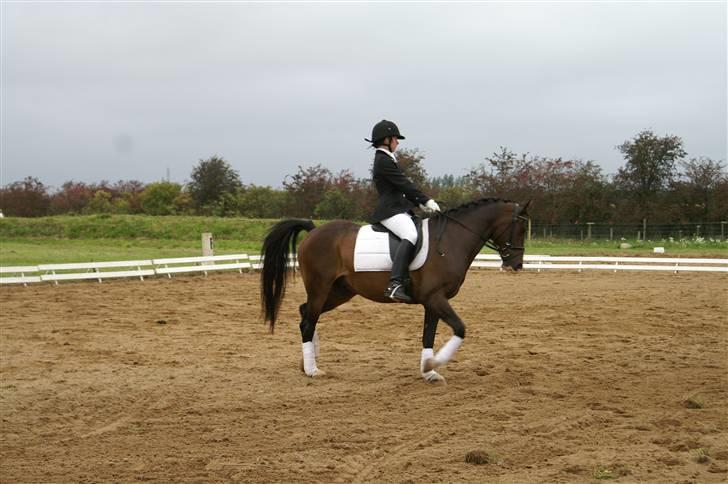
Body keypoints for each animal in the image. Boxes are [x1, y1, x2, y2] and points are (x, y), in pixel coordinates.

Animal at [260, 198, 530, 382]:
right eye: (520, 229)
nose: (516, 265)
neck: (451, 241)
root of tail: (314, 230)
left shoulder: (433, 301)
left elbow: (428, 335)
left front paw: (429, 372)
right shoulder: (436, 298)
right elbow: (460, 328)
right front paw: (435, 364)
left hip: (339, 292)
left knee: (306, 313)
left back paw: (307, 363)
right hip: (320, 287)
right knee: (308, 320)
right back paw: (313, 369)